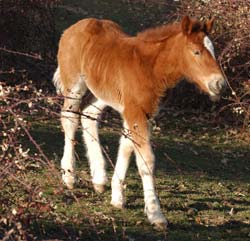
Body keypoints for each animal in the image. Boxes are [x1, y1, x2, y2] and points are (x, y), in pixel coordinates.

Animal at [53, 16, 226, 229]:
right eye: (196, 52)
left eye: (213, 51)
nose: (219, 84)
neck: (150, 68)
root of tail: (73, 28)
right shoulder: (135, 113)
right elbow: (146, 161)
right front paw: (155, 213)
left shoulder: (141, 114)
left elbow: (127, 147)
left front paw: (117, 196)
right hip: (74, 85)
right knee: (69, 118)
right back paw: (69, 176)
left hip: (103, 92)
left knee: (88, 114)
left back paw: (99, 178)